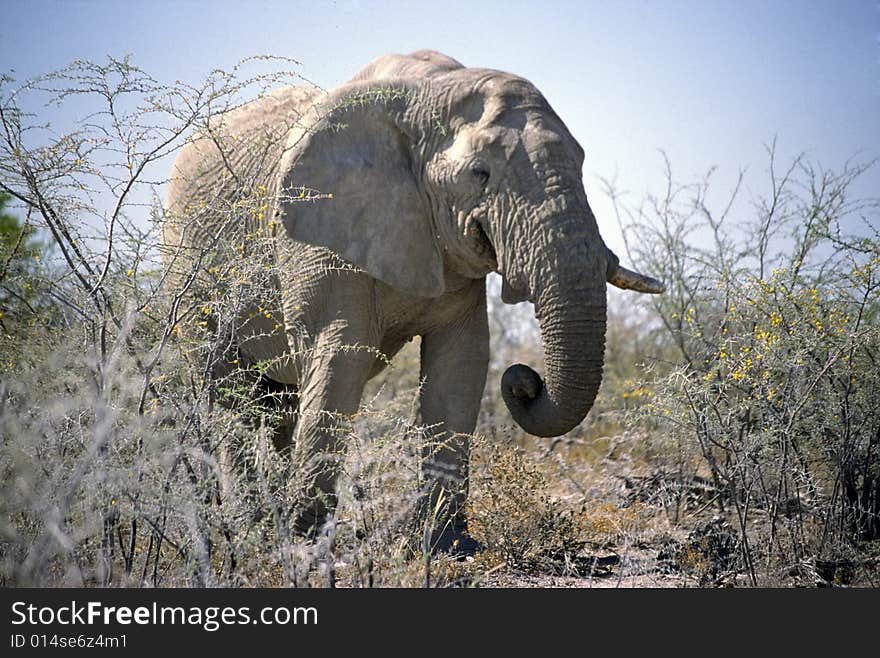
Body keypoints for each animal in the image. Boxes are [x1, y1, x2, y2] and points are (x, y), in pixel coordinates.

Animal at [163, 50, 660, 548]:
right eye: (480, 174)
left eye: (581, 164)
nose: (525, 380)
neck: (430, 94)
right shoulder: (319, 230)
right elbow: (342, 354)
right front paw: (307, 542)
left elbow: (460, 363)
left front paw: (448, 545)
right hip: (190, 276)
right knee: (228, 391)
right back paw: (247, 531)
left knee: (279, 401)